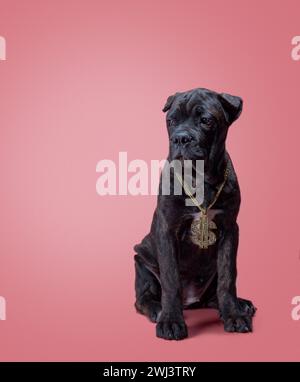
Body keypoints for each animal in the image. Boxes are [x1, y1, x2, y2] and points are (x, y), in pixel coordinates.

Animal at [134, 87, 255, 340]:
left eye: (206, 120)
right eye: (170, 121)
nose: (180, 138)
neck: (198, 177)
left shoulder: (230, 229)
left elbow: (228, 277)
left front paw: (234, 315)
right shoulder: (167, 229)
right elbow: (170, 279)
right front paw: (171, 321)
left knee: (214, 294)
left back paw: (239, 304)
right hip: (142, 260)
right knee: (143, 298)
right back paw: (157, 309)